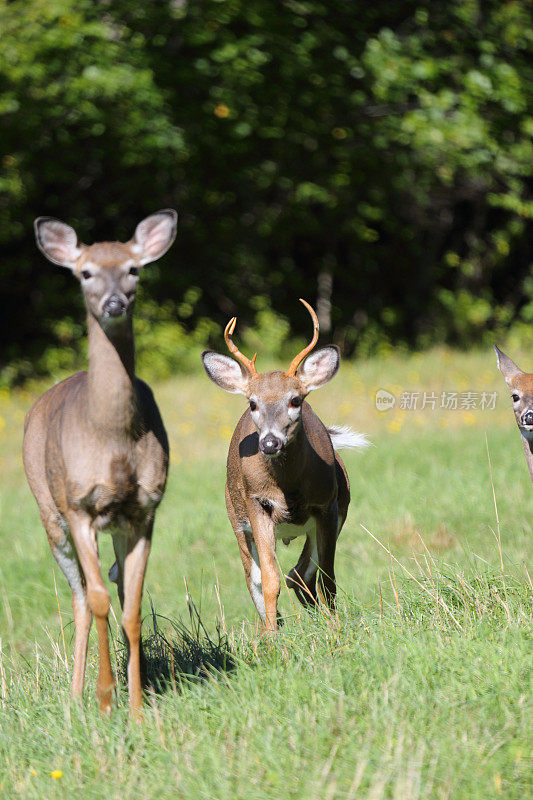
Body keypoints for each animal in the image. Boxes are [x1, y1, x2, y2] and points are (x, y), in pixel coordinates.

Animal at [22, 208, 177, 712]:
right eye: (85, 272)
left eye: (134, 269)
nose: (113, 303)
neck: (111, 438)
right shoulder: (80, 507)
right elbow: (97, 601)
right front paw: (106, 698)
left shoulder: (145, 509)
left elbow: (131, 610)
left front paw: (137, 706)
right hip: (49, 511)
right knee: (78, 596)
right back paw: (76, 695)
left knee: (113, 587)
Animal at [202, 300, 368, 632]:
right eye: (252, 403)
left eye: (295, 400)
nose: (269, 443)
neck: (287, 489)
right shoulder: (257, 503)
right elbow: (268, 580)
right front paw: (273, 635)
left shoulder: (328, 505)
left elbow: (327, 577)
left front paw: (336, 628)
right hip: (236, 517)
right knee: (256, 576)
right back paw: (272, 625)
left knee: (300, 574)